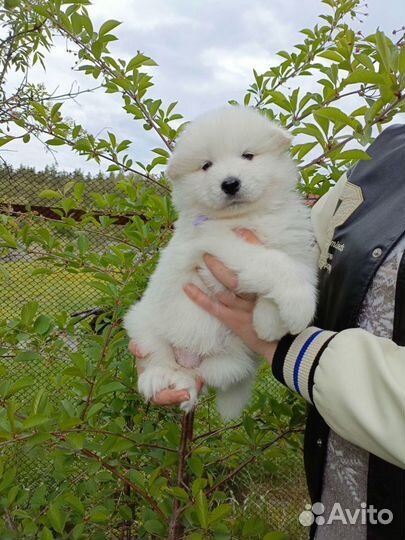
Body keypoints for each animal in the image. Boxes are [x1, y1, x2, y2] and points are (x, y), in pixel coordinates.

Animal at [123, 104, 316, 418]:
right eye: (206, 166)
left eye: (248, 156)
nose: (230, 184)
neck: (248, 216)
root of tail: (188, 355)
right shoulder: (218, 242)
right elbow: (276, 264)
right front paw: (299, 308)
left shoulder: (294, 240)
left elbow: (295, 267)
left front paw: (269, 325)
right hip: (144, 326)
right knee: (158, 358)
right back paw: (155, 379)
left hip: (230, 363)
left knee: (196, 376)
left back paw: (185, 387)